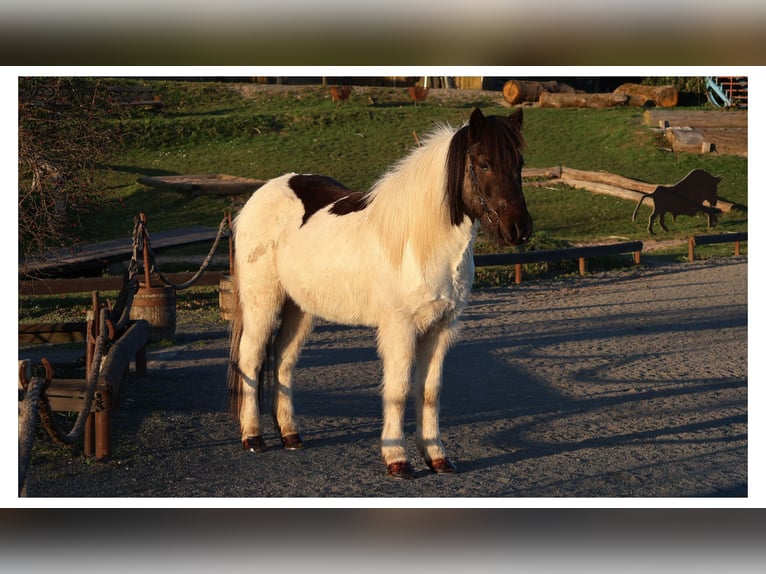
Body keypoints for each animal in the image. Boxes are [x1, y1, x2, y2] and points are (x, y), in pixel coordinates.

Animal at [227, 107, 532, 479]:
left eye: (519, 162)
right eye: (484, 163)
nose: (520, 228)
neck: (420, 241)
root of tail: (258, 197)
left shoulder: (441, 328)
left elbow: (429, 392)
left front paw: (437, 457)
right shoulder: (399, 329)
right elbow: (397, 391)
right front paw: (397, 459)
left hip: (299, 309)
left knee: (283, 361)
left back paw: (290, 435)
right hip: (263, 304)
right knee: (251, 360)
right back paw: (252, 437)